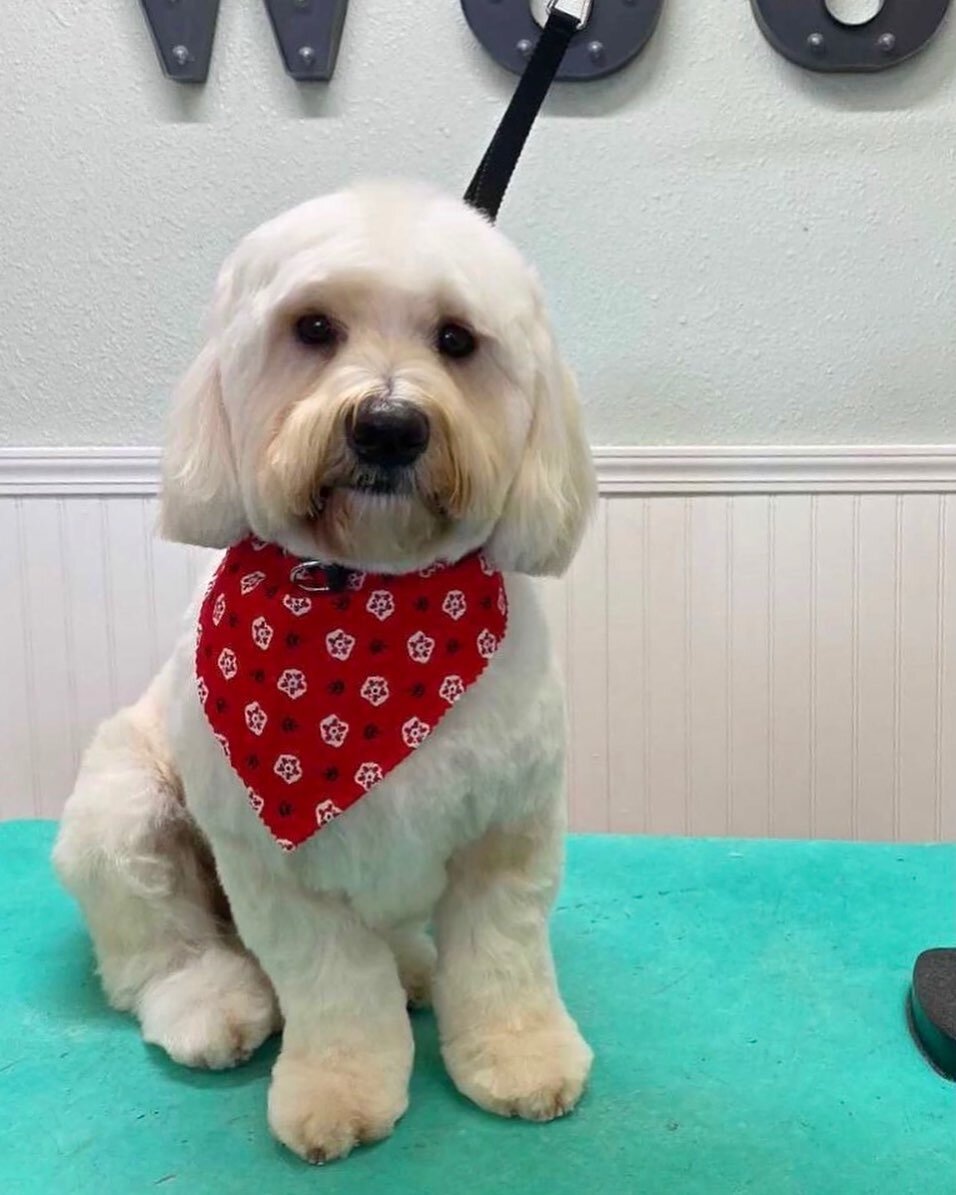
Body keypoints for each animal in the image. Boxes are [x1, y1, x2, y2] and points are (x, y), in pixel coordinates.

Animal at [54, 181, 597, 1161]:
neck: (369, 605)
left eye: (457, 339)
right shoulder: (277, 871)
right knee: (156, 950)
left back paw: (414, 970)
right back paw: (212, 1004)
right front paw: (338, 1094)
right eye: (312, 328)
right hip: (125, 808)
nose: (388, 424)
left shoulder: (508, 827)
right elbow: (334, 991)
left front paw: (520, 1058)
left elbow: (502, 962)